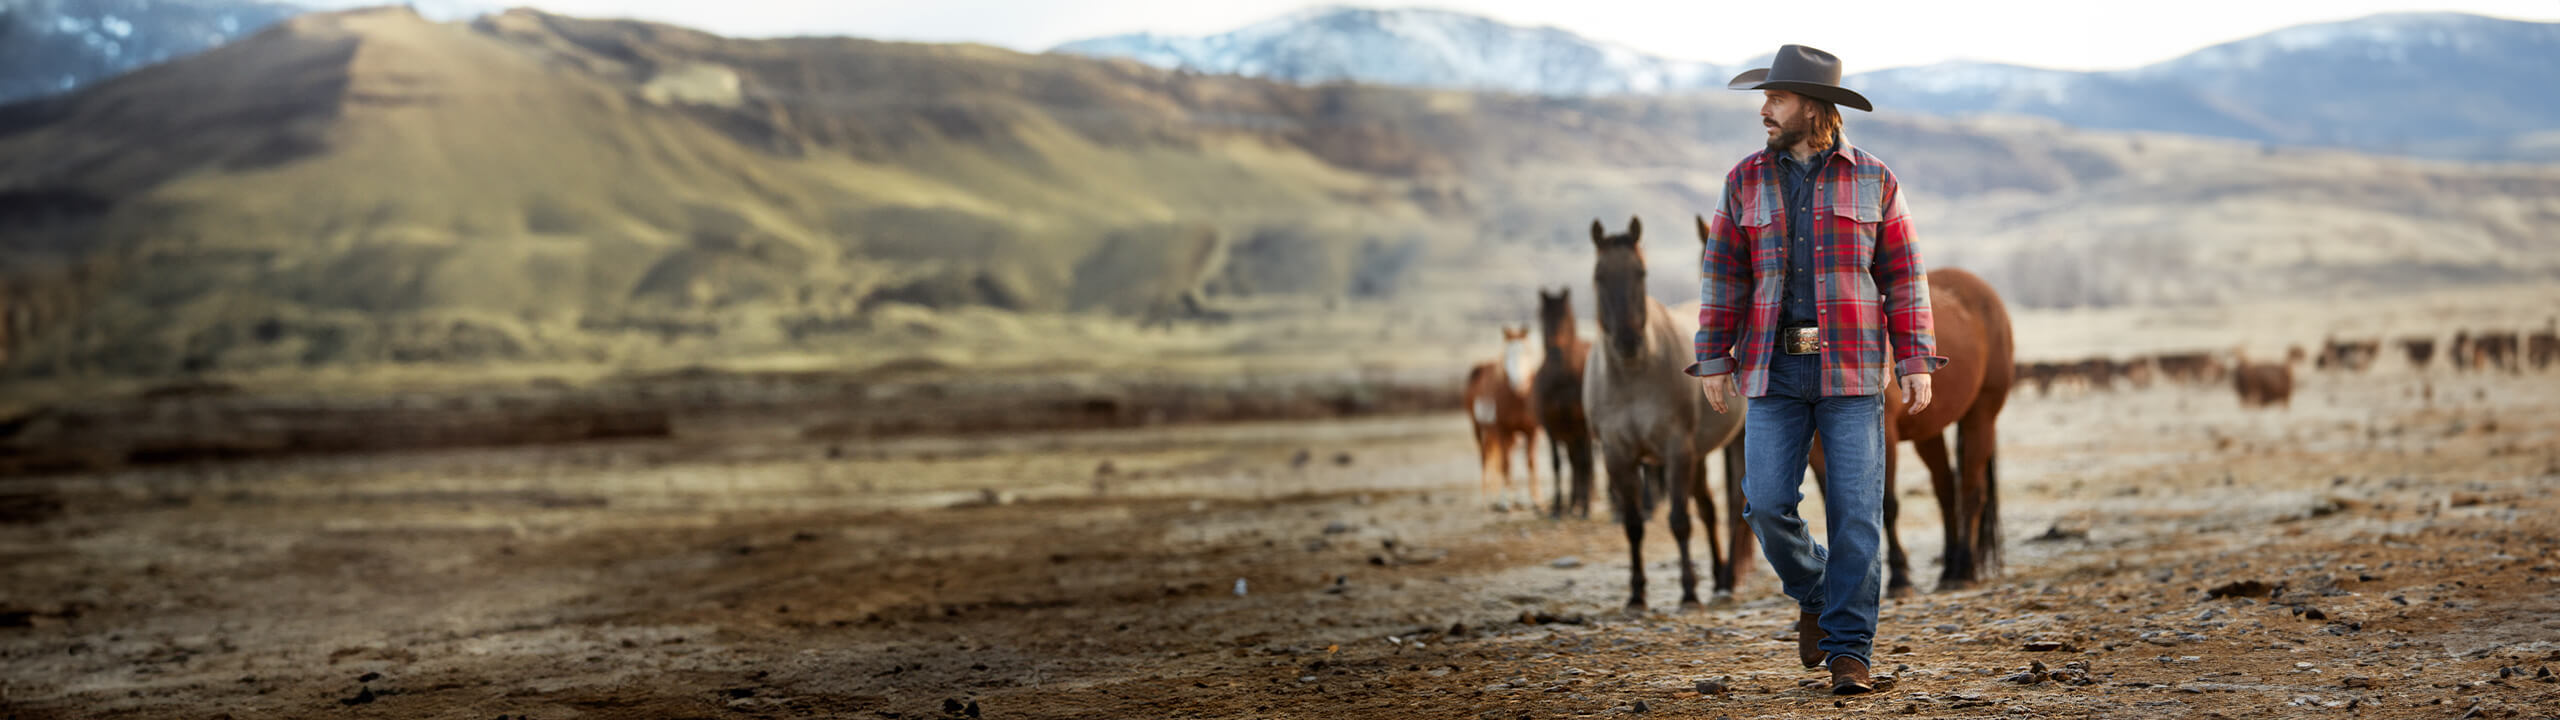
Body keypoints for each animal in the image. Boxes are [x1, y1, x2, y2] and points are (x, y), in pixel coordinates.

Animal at [1525, 285, 1587, 515]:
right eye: (1543, 317)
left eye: (1566, 317)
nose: (1556, 352)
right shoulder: (1551, 428)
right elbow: (1557, 464)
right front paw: (1558, 507)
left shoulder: (1582, 427)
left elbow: (1582, 463)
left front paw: (1584, 508)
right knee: (1573, 462)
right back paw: (1572, 503)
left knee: (1581, 463)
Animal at [1576, 215, 1761, 607]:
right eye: (1599, 276)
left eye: (1641, 272)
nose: (1627, 341)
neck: (1633, 373)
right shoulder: (1618, 456)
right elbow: (1633, 525)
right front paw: (1636, 594)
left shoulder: (1677, 451)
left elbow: (1679, 520)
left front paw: (1688, 590)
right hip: (1699, 456)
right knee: (1708, 508)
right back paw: (1719, 577)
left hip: (1731, 442)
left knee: (1732, 505)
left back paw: (1727, 578)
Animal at [1812, 266, 2007, 591]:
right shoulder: (1815, 451)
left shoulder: (1885, 437)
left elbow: (1887, 504)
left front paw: (1900, 577)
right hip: (1929, 433)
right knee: (1946, 490)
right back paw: (1949, 569)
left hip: (1981, 416)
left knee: (1971, 491)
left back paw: (1964, 570)